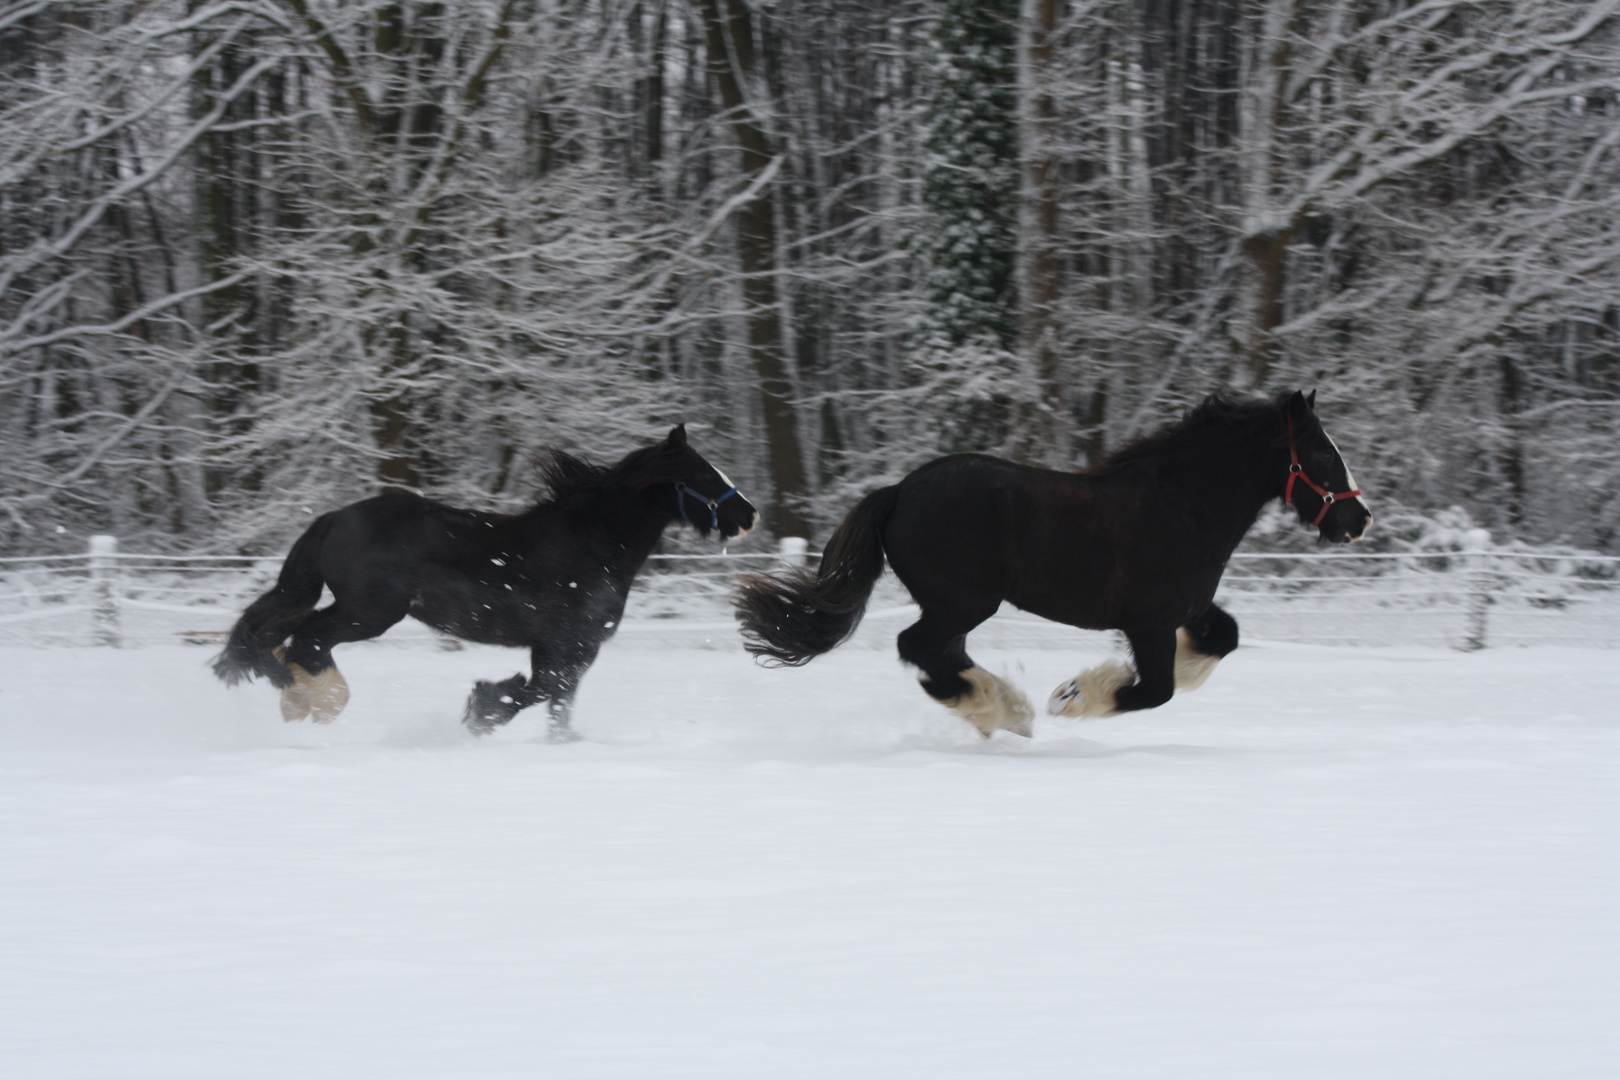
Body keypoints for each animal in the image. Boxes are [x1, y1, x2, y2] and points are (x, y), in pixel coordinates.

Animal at [213, 427, 758, 738]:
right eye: (704, 475)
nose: (749, 514)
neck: (593, 543)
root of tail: (334, 517)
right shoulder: (573, 644)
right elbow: (542, 691)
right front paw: (482, 710)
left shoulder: (558, 647)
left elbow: (556, 701)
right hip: (369, 612)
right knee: (306, 641)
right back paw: (318, 705)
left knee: (283, 637)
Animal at [741, 388, 1373, 735]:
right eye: (1322, 454)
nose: (1358, 520)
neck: (1183, 504)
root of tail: (898, 491)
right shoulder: (1149, 622)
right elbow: (1155, 690)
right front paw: (1072, 697)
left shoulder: (1186, 609)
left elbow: (1225, 638)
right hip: (962, 602)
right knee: (919, 649)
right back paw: (1005, 709)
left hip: (955, 607)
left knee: (943, 656)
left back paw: (1003, 707)